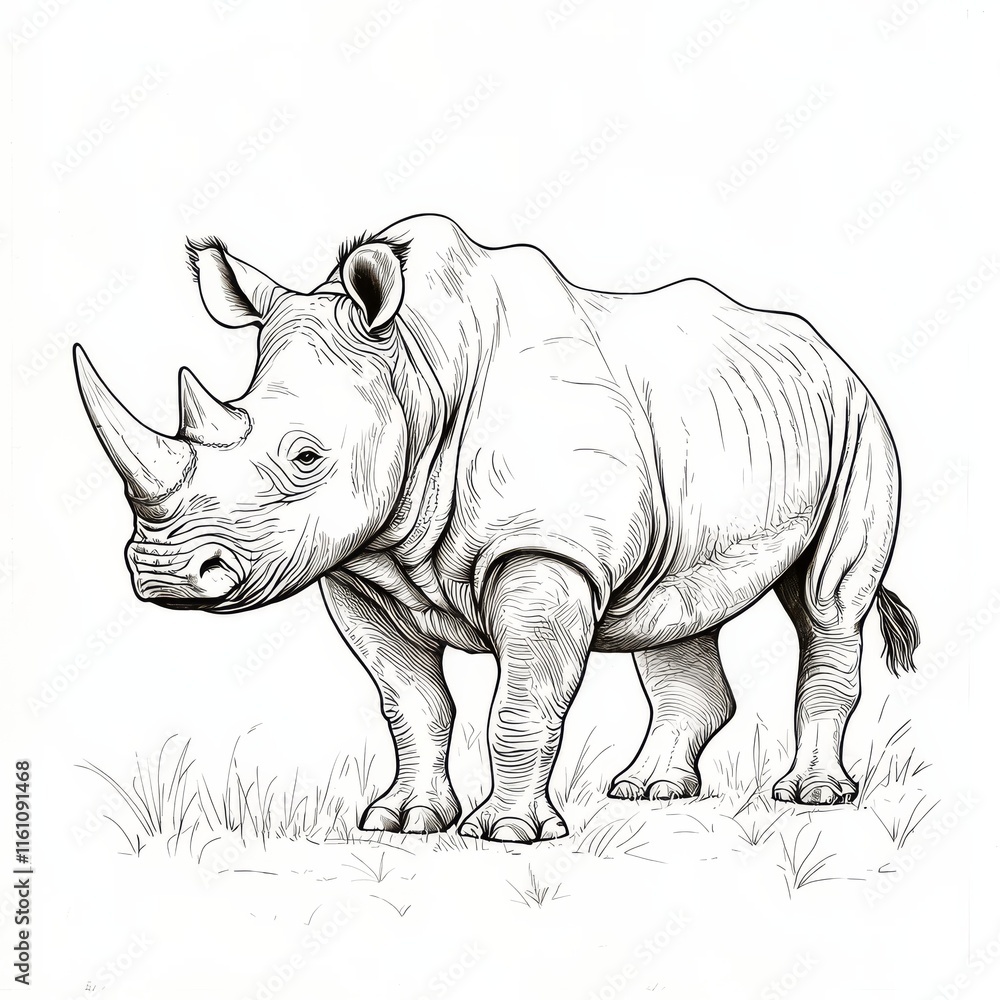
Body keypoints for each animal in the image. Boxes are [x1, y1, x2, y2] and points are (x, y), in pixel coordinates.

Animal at [74, 213, 919, 842]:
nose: (166, 576)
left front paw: (508, 834)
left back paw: (811, 797)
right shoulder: (359, 564)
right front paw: (403, 821)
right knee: (676, 613)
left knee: (827, 601)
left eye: (307, 457)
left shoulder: (547, 547)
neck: (417, 367)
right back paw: (648, 792)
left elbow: (522, 700)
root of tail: (829, 352)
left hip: (861, 422)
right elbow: (411, 703)